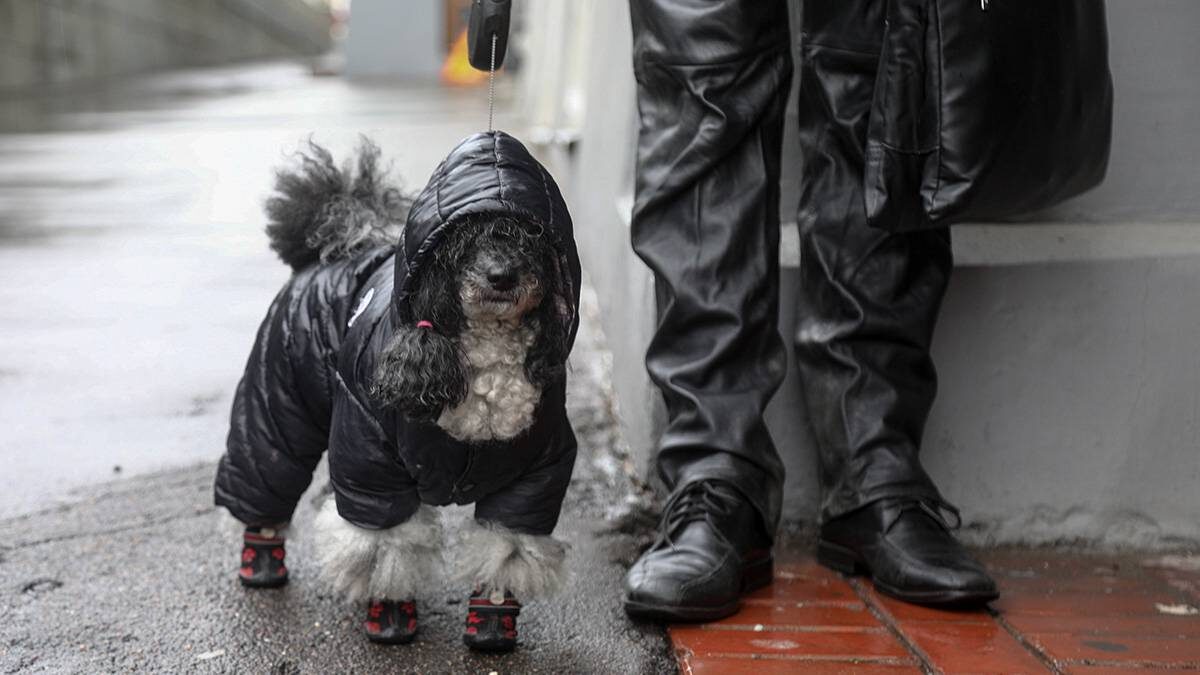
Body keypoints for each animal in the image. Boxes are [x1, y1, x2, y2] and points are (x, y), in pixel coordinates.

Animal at [214, 127, 580, 653]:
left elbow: (504, 548)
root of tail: (327, 251)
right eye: (464, 244)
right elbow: (386, 545)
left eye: (528, 238)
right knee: (267, 469)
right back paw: (261, 557)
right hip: (280, 392)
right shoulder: (373, 459)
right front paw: (388, 613)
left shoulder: (537, 474)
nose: (501, 276)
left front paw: (492, 620)